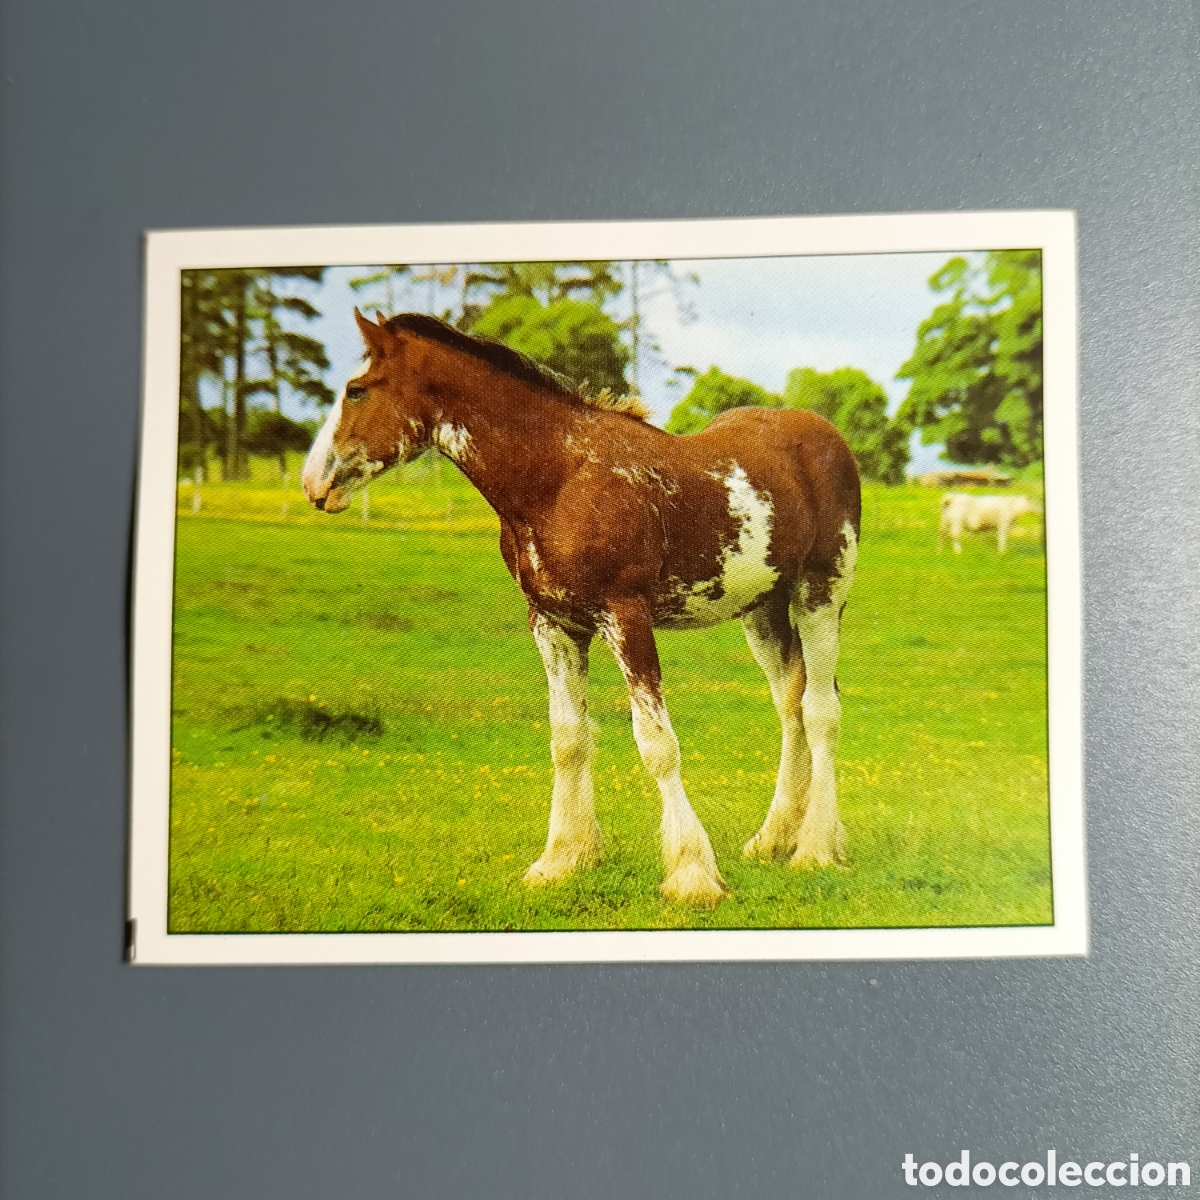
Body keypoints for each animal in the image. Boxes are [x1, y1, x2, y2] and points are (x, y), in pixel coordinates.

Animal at [302, 309, 861, 906]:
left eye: (357, 390)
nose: (314, 483)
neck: (559, 479)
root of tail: (826, 437)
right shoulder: (554, 624)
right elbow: (569, 739)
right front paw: (563, 859)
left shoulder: (626, 616)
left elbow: (657, 743)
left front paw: (691, 874)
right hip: (761, 610)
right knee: (791, 704)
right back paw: (774, 839)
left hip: (821, 593)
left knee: (820, 710)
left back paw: (815, 849)